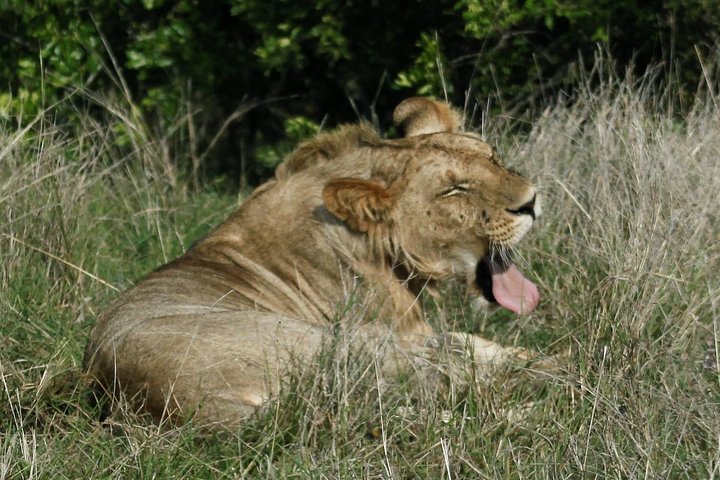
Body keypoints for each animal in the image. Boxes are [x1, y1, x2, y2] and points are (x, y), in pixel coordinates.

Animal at [84, 95, 544, 426]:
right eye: (454, 190)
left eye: (493, 158)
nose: (531, 202)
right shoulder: (399, 332)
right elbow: (468, 350)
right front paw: (544, 364)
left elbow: (474, 342)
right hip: (333, 343)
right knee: (448, 380)